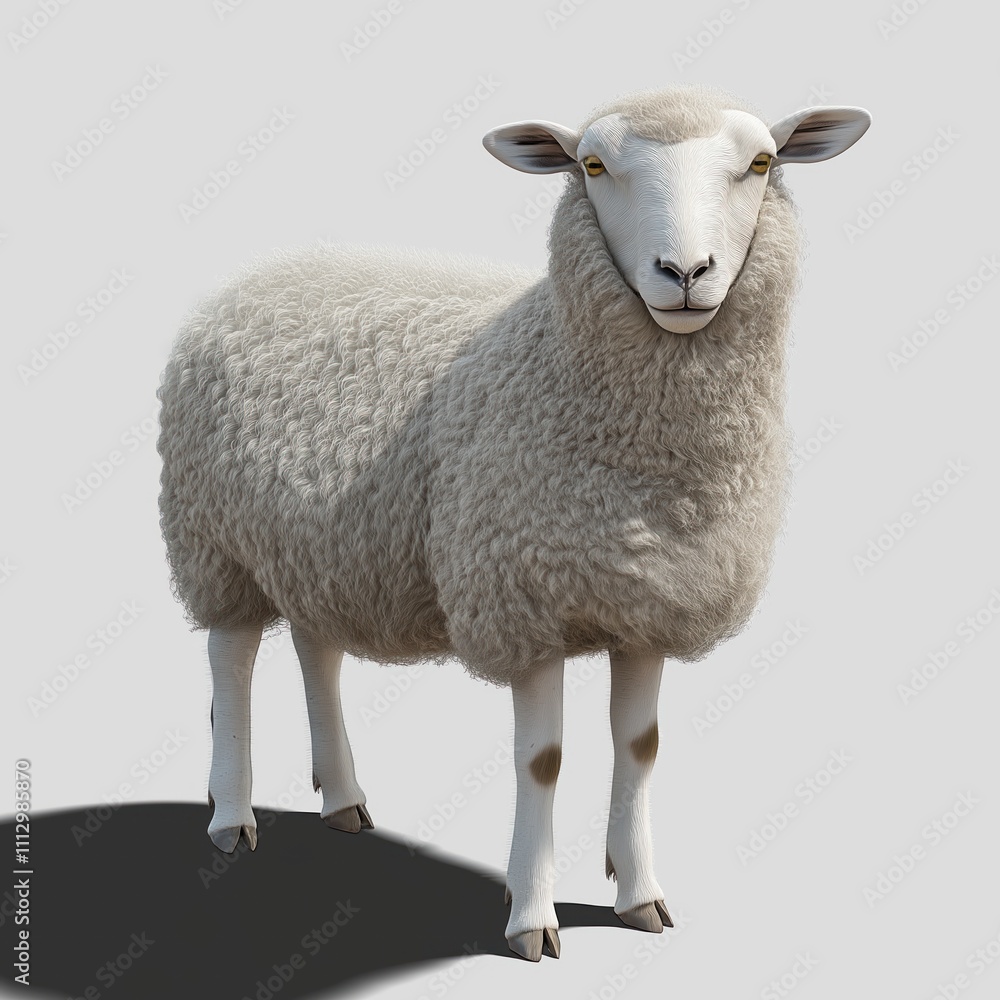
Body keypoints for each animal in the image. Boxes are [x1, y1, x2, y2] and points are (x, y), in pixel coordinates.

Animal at [157, 84, 870, 962]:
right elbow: (544, 762)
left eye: (762, 162)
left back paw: (345, 800)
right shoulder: (522, 599)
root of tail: (260, 271)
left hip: (324, 544)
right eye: (591, 164)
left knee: (317, 652)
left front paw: (639, 895)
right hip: (215, 540)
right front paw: (532, 916)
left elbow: (639, 749)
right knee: (231, 663)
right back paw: (231, 815)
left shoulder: (648, 602)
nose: (685, 273)